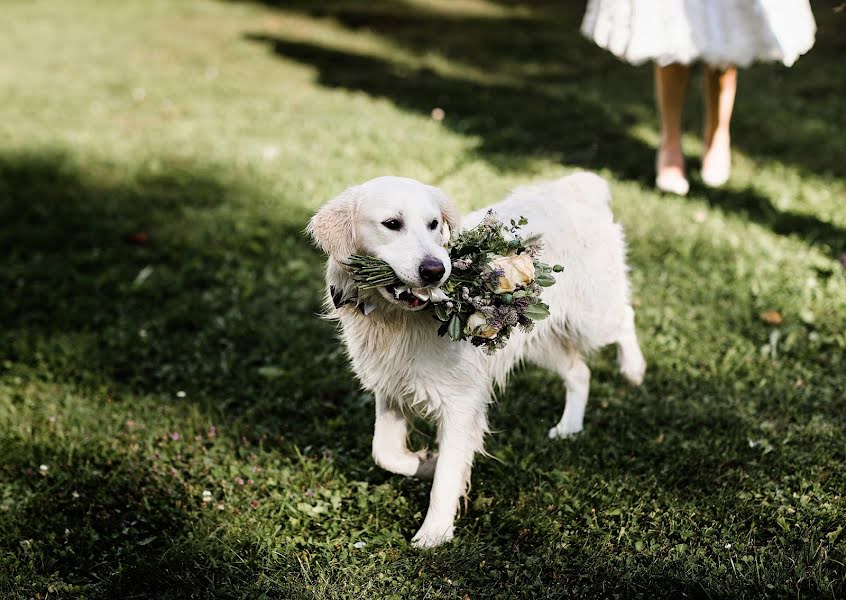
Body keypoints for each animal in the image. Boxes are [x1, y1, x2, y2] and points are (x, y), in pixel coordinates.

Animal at [308, 173, 644, 548]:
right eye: (392, 224)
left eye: (433, 224)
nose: (435, 270)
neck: (394, 319)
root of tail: (576, 188)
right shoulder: (392, 389)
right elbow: (385, 453)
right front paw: (425, 461)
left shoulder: (460, 401)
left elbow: (445, 477)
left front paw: (434, 534)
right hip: (538, 341)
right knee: (580, 372)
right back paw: (569, 427)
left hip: (592, 318)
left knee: (625, 318)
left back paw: (633, 370)